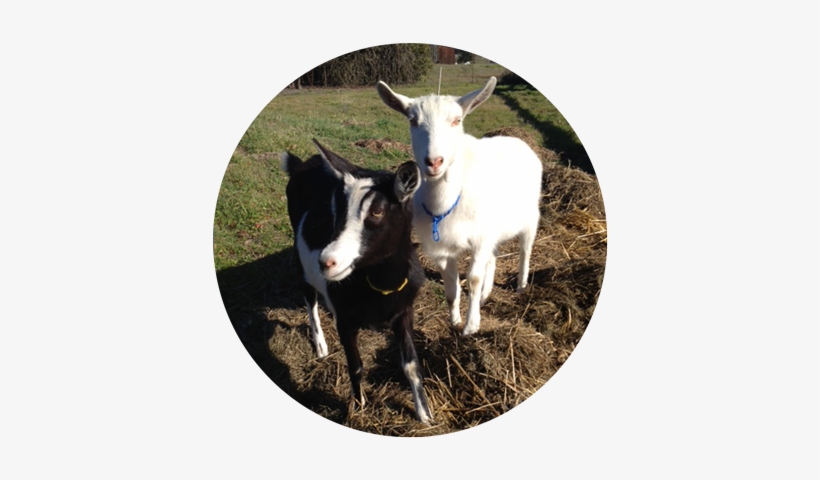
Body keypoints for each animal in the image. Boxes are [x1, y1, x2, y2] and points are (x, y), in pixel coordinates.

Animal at [280, 139, 432, 424]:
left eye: (377, 211)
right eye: (336, 209)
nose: (327, 261)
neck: (380, 287)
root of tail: (302, 164)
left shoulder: (404, 311)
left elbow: (411, 366)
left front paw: (425, 414)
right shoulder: (346, 321)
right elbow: (357, 366)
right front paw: (358, 408)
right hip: (300, 257)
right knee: (309, 298)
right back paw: (321, 346)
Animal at [376, 77, 543, 337]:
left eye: (457, 120)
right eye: (412, 121)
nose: (434, 162)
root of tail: (518, 140)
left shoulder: (481, 238)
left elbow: (473, 280)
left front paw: (471, 327)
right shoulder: (442, 249)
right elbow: (450, 288)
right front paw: (454, 321)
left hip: (530, 217)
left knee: (525, 250)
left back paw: (521, 287)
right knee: (493, 258)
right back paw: (486, 295)